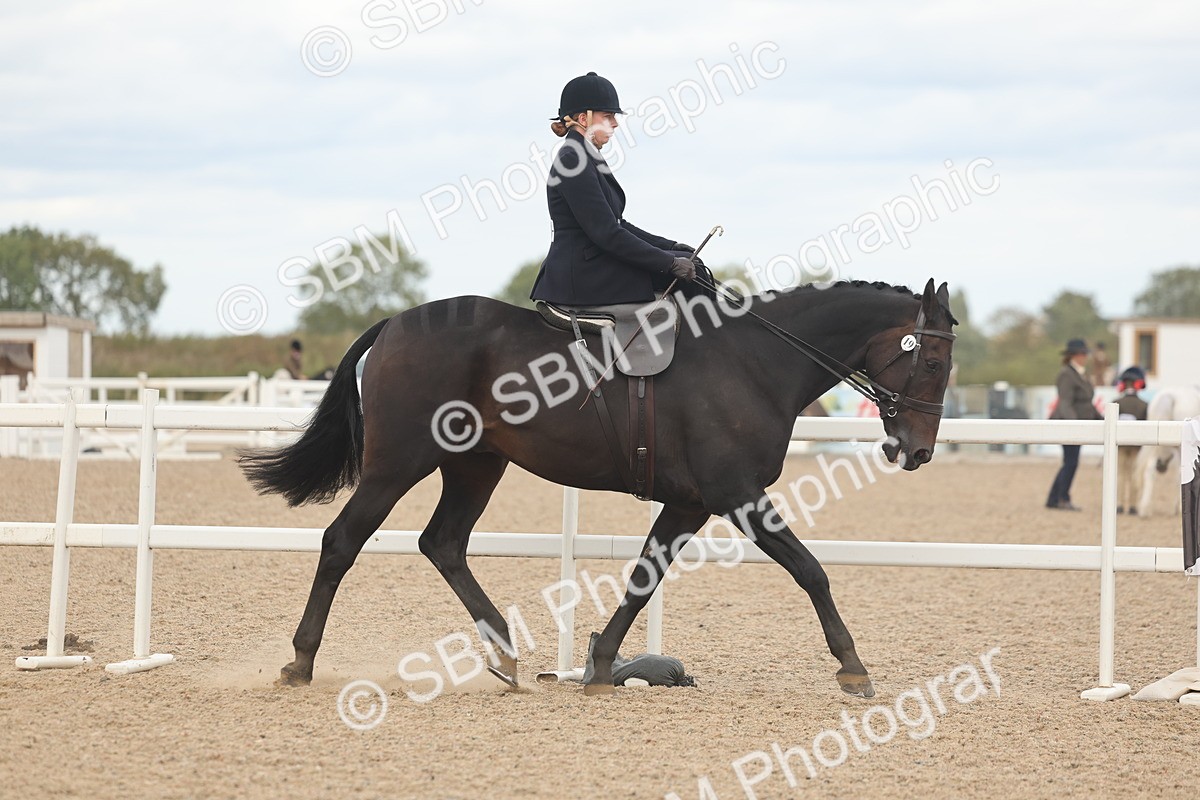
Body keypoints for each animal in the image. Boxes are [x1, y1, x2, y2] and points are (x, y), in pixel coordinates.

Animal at [239, 278, 958, 698]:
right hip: (400, 463)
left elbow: (643, 578)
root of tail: (395, 323)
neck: (754, 361)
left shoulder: (690, 503)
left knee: (442, 543)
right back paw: (300, 662)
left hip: (476, 464)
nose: (917, 450)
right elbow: (811, 570)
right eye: (931, 359)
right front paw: (853, 666)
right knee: (343, 540)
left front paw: (604, 667)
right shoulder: (736, 494)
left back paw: (505, 654)